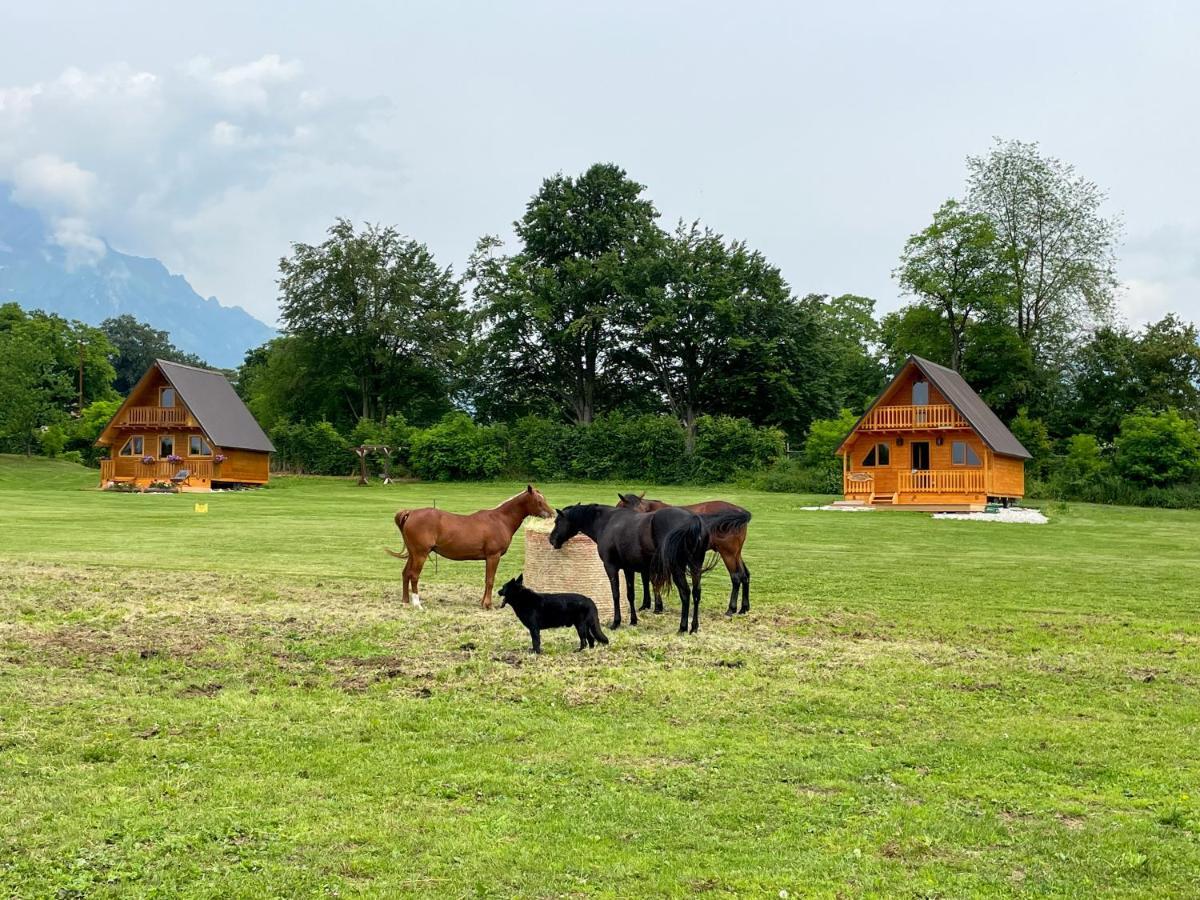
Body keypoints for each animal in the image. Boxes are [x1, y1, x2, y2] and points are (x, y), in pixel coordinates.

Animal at [384, 487, 552, 614]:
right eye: (539, 501)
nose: (552, 514)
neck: (500, 520)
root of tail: (410, 512)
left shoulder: (488, 558)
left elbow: (486, 580)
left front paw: (483, 603)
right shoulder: (494, 556)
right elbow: (490, 580)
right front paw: (488, 605)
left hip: (413, 554)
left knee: (405, 573)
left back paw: (405, 602)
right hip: (420, 554)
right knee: (414, 576)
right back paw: (417, 604)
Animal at [619, 494, 748, 619]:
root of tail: (740, 511)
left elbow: (653, 580)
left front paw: (657, 607)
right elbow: (646, 579)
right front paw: (647, 605)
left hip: (728, 554)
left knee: (736, 577)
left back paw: (731, 609)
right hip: (736, 554)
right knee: (745, 575)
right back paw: (744, 608)